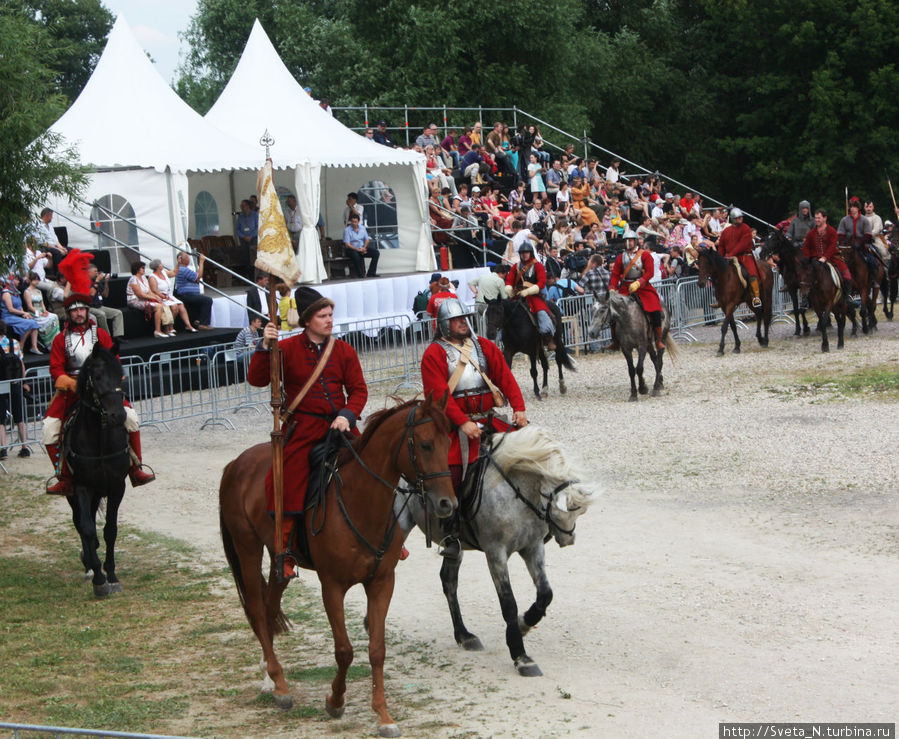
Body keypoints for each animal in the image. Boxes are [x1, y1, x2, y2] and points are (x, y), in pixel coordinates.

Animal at [65, 344, 133, 600]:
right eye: (97, 377)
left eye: (120, 376)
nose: (119, 416)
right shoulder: (81, 487)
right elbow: (86, 528)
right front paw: (99, 579)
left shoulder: (116, 486)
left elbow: (110, 530)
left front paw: (111, 575)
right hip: (73, 493)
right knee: (80, 522)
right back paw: (88, 564)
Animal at [219, 396, 458, 736]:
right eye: (425, 445)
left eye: (448, 442)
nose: (447, 504)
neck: (361, 503)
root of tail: (237, 463)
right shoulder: (331, 586)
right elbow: (344, 651)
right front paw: (335, 701)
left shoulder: (382, 582)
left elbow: (377, 650)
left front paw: (383, 715)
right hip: (247, 549)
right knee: (256, 607)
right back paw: (280, 684)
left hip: (281, 561)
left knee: (268, 606)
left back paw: (270, 675)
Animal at [396, 424, 596, 680]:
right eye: (568, 510)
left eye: (580, 511)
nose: (569, 539)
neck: (515, 490)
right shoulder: (496, 553)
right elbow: (508, 603)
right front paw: (521, 656)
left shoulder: (533, 547)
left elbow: (545, 594)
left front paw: (524, 624)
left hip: (454, 548)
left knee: (449, 581)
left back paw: (464, 635)